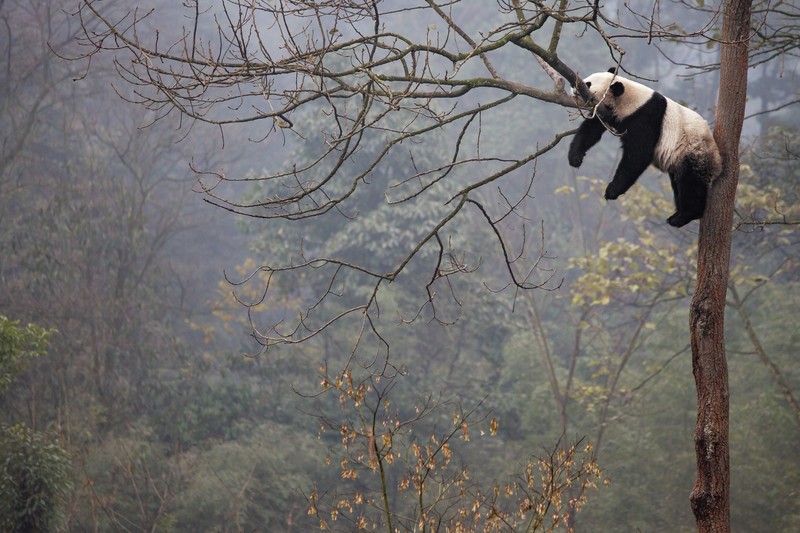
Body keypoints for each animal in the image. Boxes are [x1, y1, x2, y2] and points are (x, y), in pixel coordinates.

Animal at [567, 69, 722, 227]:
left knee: (690, 183)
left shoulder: (645, 117)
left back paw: (684, 216)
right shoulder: (606, 112)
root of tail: (718, 163)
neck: (631, 100)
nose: (573, 85)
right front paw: (575, 157)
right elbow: (591, 129)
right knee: (678, 183)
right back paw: (677, 215)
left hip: (693, 150)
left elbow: (638, 155)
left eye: (587, 83)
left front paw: (612, 190)